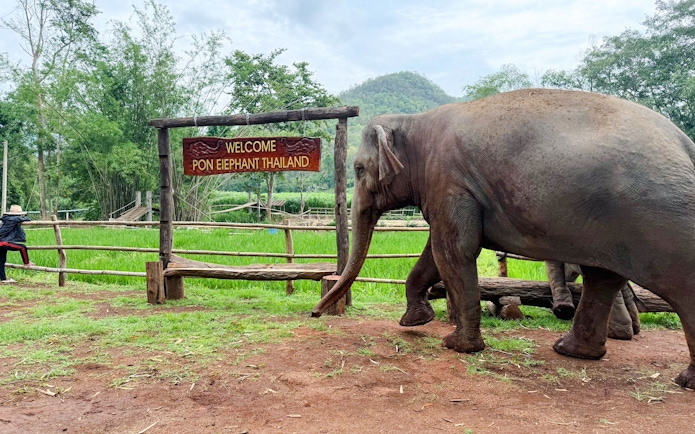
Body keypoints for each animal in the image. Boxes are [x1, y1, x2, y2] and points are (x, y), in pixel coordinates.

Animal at [312, 88, 695, 389]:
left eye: (359, 169)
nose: (315, 314)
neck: (415, 122)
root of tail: (685, 144)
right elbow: (434, 253)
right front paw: (414, 322)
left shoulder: (449, 181)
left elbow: (453, 251)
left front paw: (457, 345)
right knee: (602, 278)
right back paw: (570, 350)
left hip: (664, 222)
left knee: (678, 288)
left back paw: (684, 381)